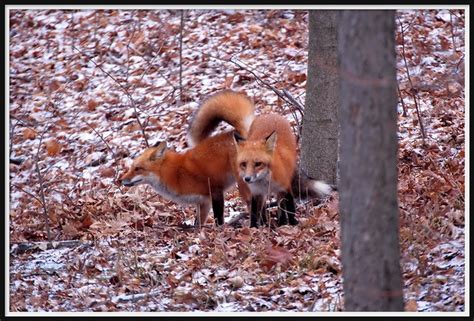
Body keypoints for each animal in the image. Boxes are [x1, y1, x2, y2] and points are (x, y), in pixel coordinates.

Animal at [122, 89, 256, 225]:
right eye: (131, 168)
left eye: (138, 168)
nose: (121, 180)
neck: (175, 174)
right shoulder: (203, 202)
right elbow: (198, 224)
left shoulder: (215, 190)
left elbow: (218, 219)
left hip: (243, 183)